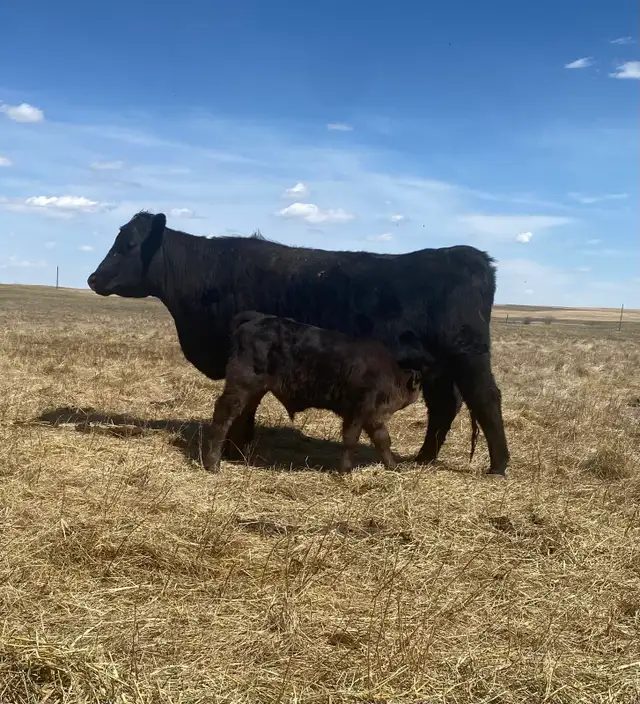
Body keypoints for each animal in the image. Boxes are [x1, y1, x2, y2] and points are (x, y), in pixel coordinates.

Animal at [204, 310, 422, 473]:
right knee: (224, 415)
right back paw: (213, 463)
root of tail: (256, 319)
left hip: (254, 392)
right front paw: (345, 470)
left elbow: (383, 440)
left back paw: (236, 456)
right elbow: (351, 440)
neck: (389, 374)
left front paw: (393, 466)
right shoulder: (356, 412)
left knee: (240, 417)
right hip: (242, 385)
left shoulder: (374, 417)